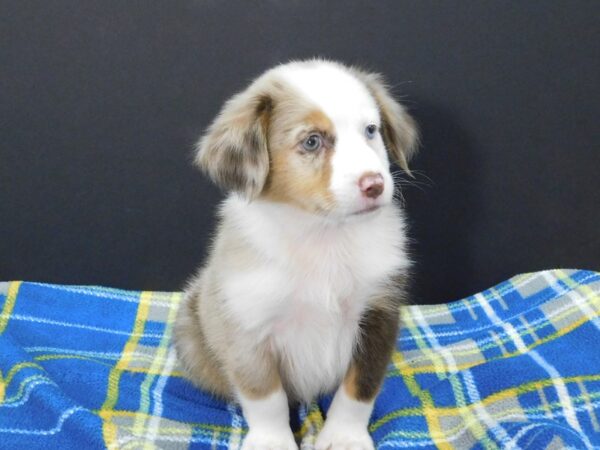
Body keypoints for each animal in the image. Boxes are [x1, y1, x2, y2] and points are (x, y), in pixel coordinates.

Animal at [173, 60, 418, 450]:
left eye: (370, 130)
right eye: (312, 141)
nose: (375, 184)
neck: (323, 233)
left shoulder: (378, 314)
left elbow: (359, 388)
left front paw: (344, 436)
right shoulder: (249, 326)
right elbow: (265, 398)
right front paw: (272, 441)